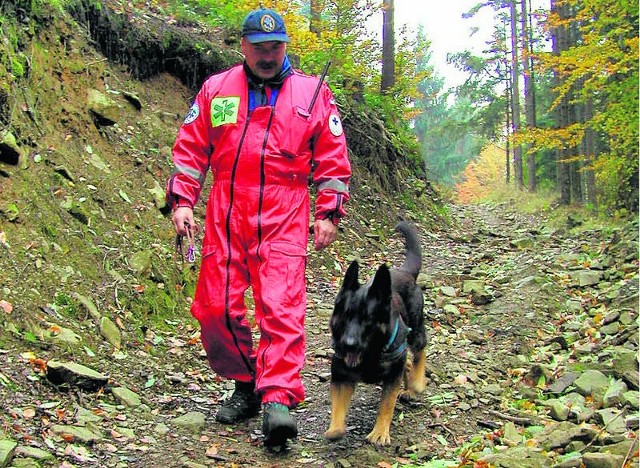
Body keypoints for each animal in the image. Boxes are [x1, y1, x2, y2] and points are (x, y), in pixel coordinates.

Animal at [324, 223, 424, 446]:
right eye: (345, 315)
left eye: (368, 320)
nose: (349, 344)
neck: (369, 355)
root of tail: (404, 272)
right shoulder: (341, 376)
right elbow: (338, 405)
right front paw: (336, 428)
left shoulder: (392, 376)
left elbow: (386, 405)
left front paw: (379, 432)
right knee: (408, 363)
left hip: (416, 331)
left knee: (419, 352)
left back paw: (417, 382)